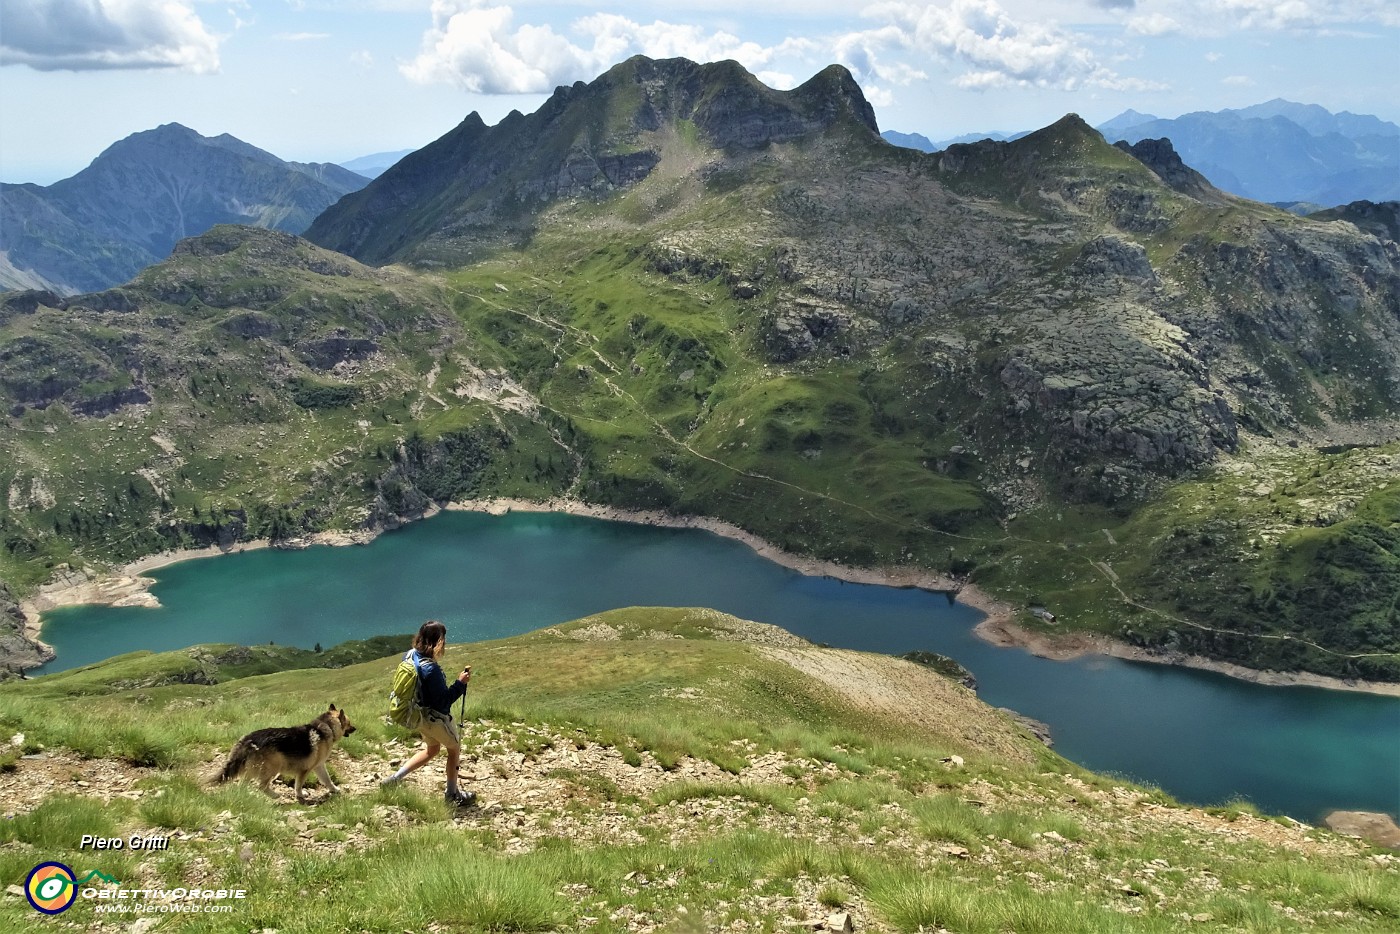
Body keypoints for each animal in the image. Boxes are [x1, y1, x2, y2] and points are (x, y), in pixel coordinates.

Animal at [214, 700, 355, 806]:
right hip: (273, 768)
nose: (355, 728)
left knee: (243, 784)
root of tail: (248, 739)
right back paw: (275, 796)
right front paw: (300, 796)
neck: (327, 727)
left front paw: (334, 789)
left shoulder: (319, 766)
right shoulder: (305, 770)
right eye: (349, 723)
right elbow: (298, 785)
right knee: (261, 786)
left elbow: (327, 780)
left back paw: (245, 798)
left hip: (251, 770)